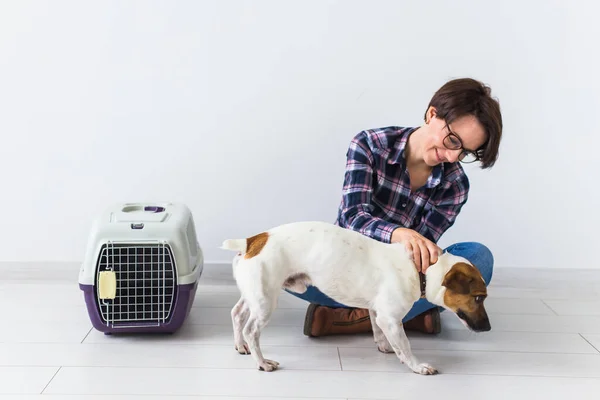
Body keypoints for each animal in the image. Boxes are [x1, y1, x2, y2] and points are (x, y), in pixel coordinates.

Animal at [218, 220, 490, 374]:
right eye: (479, 298)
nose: (488, 328)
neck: (421, 269)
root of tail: (253, 240)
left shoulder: (377, 312)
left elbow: (378, 331)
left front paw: (384, 346)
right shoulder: (391, 319)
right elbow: (405, 345)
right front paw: (416, 365)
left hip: (255, 295)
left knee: (236, 313)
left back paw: (240, 346)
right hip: (266, 301)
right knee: (251, 330)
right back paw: (262, 363)